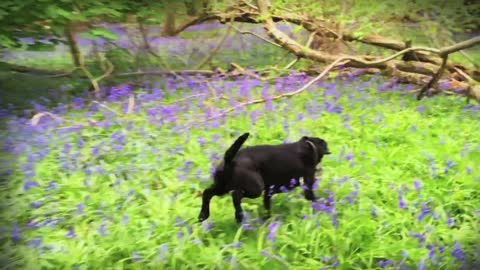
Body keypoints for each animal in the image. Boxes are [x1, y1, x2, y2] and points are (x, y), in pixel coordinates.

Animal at [198, 133, 330, 224]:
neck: (308, 146)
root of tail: (229, 161)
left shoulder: (269, 191)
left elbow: (267, 207)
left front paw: (267, 221)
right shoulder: (307, 184)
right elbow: (314, 198)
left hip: (222, 187)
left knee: (207, 193)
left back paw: (203, 215)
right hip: (255, 188)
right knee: (236, 195)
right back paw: (239, 216)